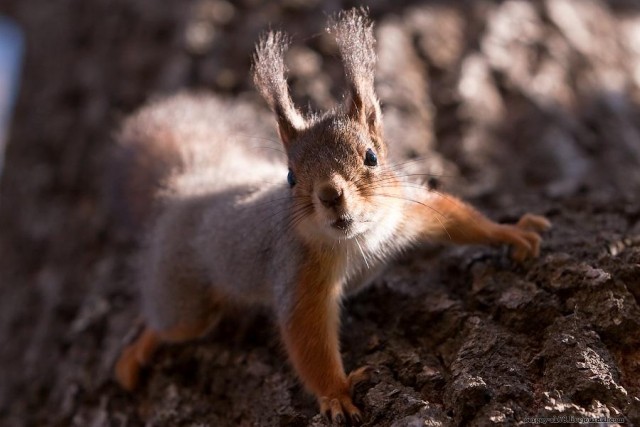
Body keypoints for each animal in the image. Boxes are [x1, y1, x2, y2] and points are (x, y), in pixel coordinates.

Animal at [111, 8, 552, 426]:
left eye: (371, 157)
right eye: (291, 176)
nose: (330, 194)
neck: (357, 239)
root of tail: (187, 191)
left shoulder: (405, 212)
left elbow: (456, 219)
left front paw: (510, 232)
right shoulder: (297, 270)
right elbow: (307, 337)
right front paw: (337, 394)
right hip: (183, 297)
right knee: (167, 323)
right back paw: (134, 354)